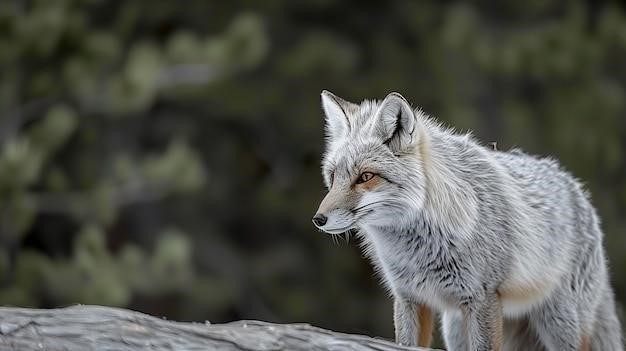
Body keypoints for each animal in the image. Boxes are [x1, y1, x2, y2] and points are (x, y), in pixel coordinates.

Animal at [310, 91, 620, 351]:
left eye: (365, 177)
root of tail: (576, 188)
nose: (318, 220)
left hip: (560, 323)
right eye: (333, 176)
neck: (418, 250)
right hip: (457, 326)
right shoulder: (410, 296)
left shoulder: (483, 297)